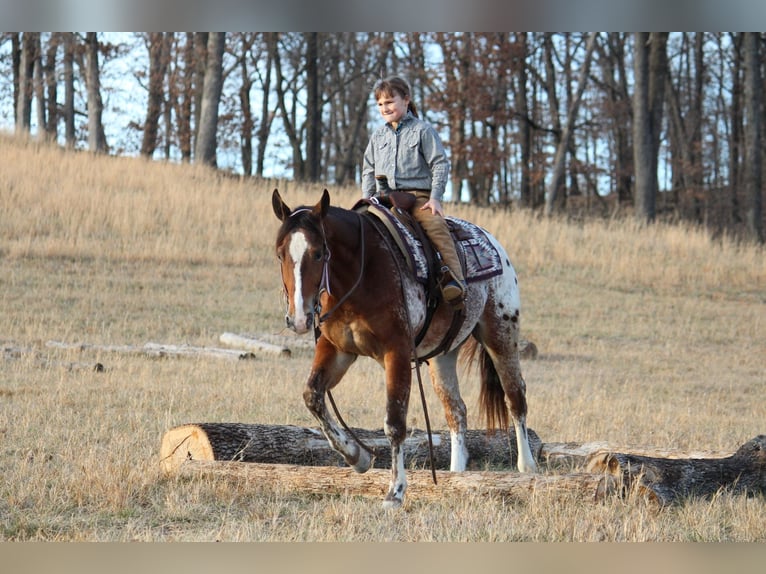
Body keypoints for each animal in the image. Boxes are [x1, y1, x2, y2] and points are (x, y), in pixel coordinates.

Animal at [272, 188, 537, 509]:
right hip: (442, 356)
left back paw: (528, 468)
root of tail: (492, 242)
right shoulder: (337, 348)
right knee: (456, 411)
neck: (362, 271)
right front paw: (357, 457)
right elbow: (313, 396)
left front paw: (395, 492)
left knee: (515, 398)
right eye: (280, 254)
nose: (298, 318)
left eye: (319, 253)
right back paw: (455, 473)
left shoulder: (395, 352)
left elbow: (394, 422)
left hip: (501, 335)